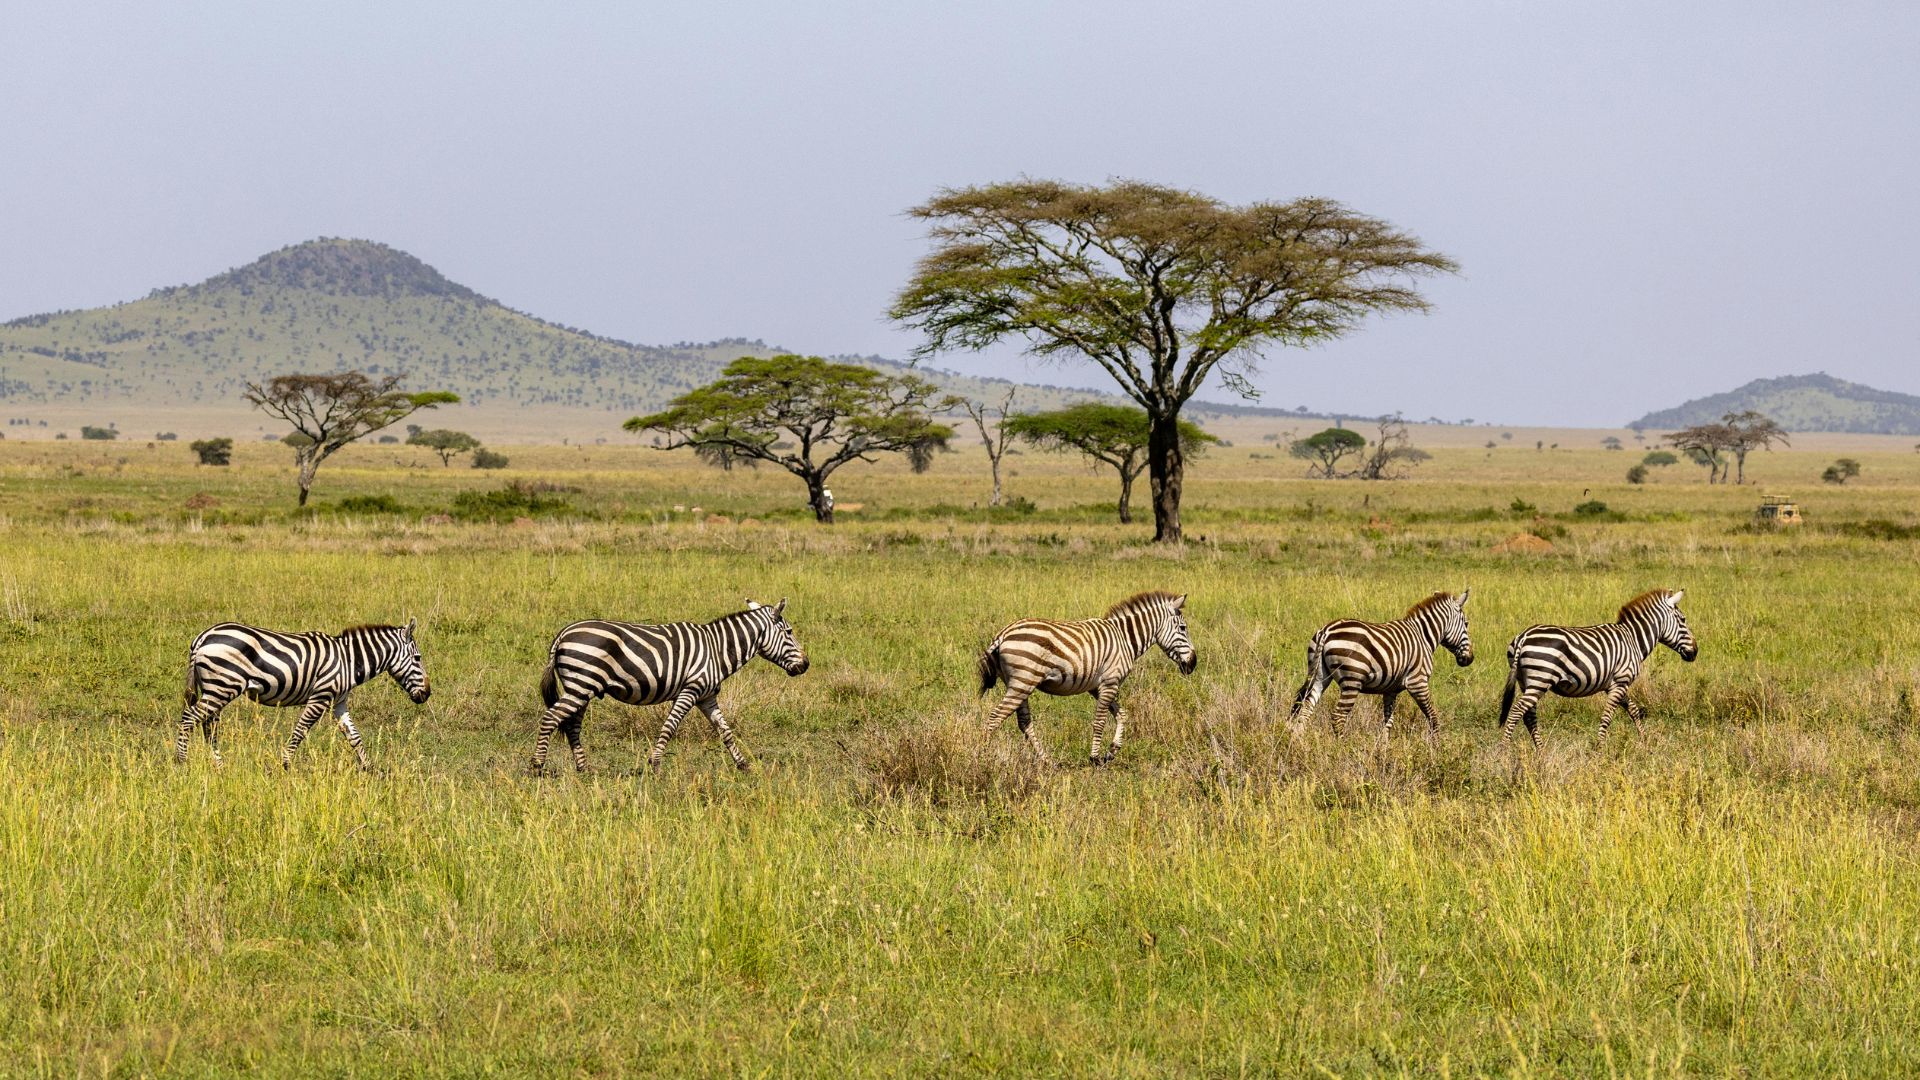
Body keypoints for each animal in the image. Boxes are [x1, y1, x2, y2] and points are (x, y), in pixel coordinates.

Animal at [175, 619, 431, 769]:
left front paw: (370, 770)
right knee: (190, 719)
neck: (348, 661)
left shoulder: (339, 702)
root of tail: (203, 636)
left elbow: (354, 737)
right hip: (223, 685)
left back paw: (218, 765)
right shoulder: (321, 696)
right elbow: (300, 731)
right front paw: (285, 765)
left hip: (216, 687)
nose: (427, 694)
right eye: (418, 658)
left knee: (207, 725)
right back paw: (181, 762)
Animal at [529, 598, 809, 774]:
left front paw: (743, 765)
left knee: (572, 726)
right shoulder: (690, 690)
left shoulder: (707, 697)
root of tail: (563, 634)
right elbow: (670, 726)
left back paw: (584, 768)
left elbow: (725, 731)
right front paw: (655, 764)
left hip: (582, 688)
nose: (806, 665)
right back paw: (536, 766)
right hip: (581, 685)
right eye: (789, 632)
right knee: (551, 718)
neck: (717, 649)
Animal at [977, 591, 1197, 765]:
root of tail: (1002, 635)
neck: (1125, 639)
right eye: (1183, 628)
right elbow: (1100, 721)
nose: (1193, 664)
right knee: (995, 717)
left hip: (1019, 683)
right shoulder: (1110, 682)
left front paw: (1112, 751)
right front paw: (1095, 758)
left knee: (1024, 722)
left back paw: (1046, 760)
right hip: (1022, 681)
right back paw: (982, 758)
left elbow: (1121, 715)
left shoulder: (1098, 686)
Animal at [1286, 590, 1473, 737]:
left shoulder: (1391, 689)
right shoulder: (1418, 682)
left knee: (1306, 709)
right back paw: (1343, 747)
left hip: (1319, 676)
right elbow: (1433, 717)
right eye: (1466, 623)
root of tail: (1327, 631)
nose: (1469, 659)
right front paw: (1436, 748)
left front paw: (1382, 749)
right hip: (1352, 681)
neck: (1423, 637)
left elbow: (1388, 722)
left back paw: (1298, 744)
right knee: (1338, 716)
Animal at [1499, 589, 1698, 746]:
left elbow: (1633, 710)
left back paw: (1540, 752)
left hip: (1527, 681)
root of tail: (1523, 636)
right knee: (1517, 711)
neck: (1633, 638)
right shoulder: (1621, 681)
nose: (1695, 652)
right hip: (1540, 679)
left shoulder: (1615, 684)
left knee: (1529, 716)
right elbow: (1608, 716)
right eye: (1683, 620)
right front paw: (1600, 748)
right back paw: (1504, 750)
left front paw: (1644, 740)